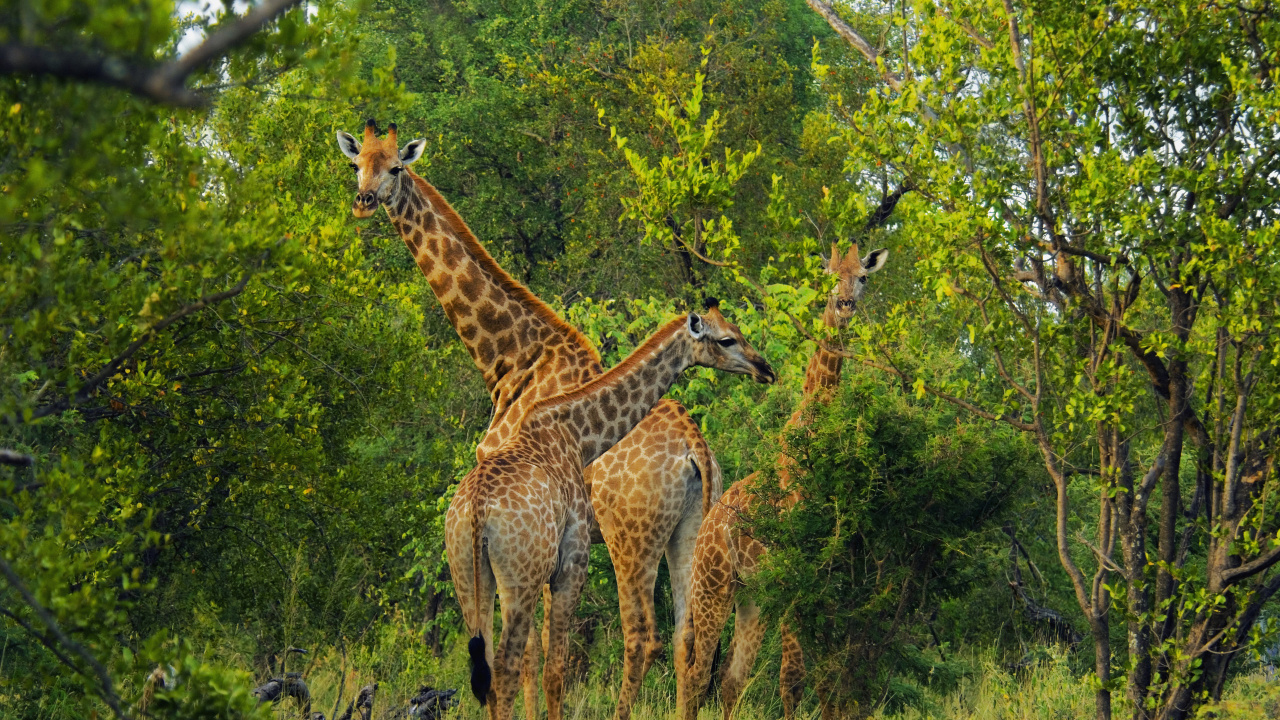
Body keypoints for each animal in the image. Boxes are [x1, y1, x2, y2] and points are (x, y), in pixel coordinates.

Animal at [335, 120, 732, 719]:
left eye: (396, 167)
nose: (363, 201)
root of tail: (696, 449)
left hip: (630, 539)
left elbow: (527, 656)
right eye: (358, 163)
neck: (510, 358)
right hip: (688, 529)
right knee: (692, 641)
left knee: (642, 636)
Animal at [446, 305, 776, 720]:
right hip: (527, 573)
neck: (575, 432)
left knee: (491, 665)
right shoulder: (571, 560)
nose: (765, 368)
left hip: (472, 573)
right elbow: (553, 662)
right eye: (727, 339)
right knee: (510, 662)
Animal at [675, 244, 888, 720]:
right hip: (714, 586)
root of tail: (706, 531)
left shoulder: (823, 574)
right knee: (697, 675)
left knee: (731, 680)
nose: (845, 305)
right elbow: (792, 678)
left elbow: (822, 678)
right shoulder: (793, 571)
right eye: (829, 276)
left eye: (863, 277)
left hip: (751, 595)